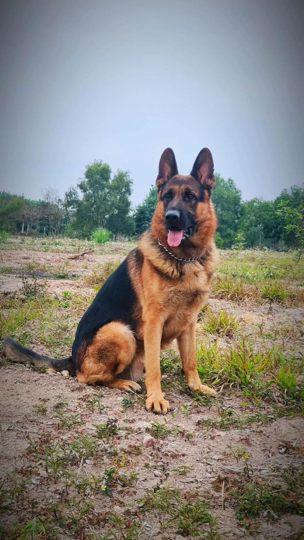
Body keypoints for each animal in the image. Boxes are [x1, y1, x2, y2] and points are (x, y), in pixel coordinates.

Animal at [4, 148, 218, 414]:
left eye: (190, 196)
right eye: (167, 196)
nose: (171, 218)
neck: (185, 259)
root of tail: (73, 358)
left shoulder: (189, 322)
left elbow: (190, 360)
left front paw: (196, 387)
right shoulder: (154, 322)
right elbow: (155, 368)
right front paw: (155, 397)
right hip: (120, 332)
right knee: (87, 377)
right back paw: (124, 383)